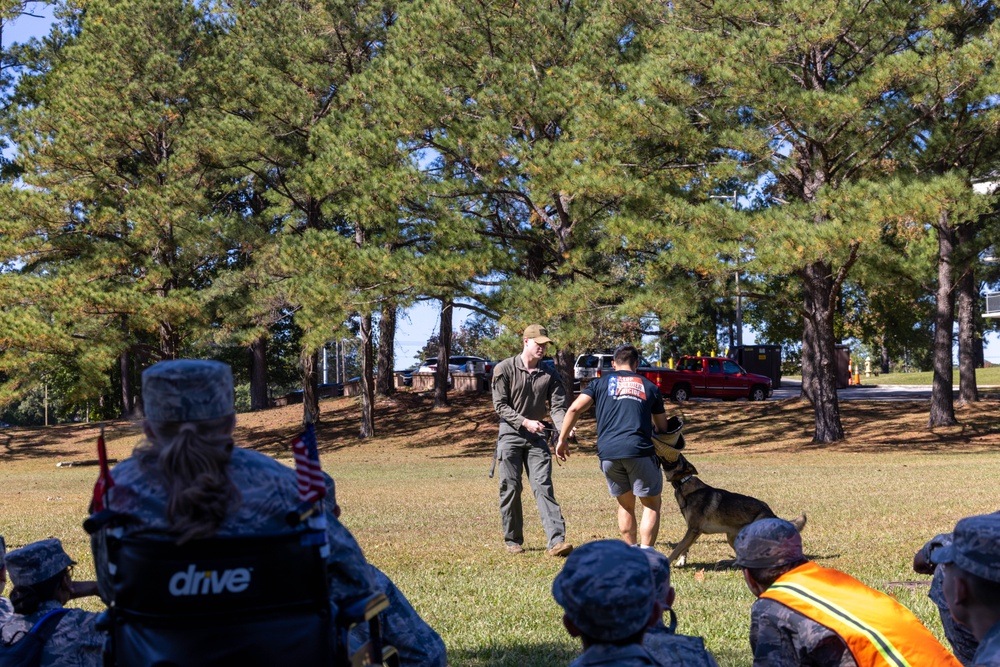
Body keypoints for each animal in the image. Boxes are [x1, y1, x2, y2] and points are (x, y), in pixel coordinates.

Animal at [660, 452, 808, 568]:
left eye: (676, 457)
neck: (684, 483)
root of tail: (772, 514)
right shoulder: (692, 530)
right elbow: (683, 547)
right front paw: (681, 561)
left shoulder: (693, 530)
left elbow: (677, 548)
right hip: (731, 537)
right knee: (740, 556)